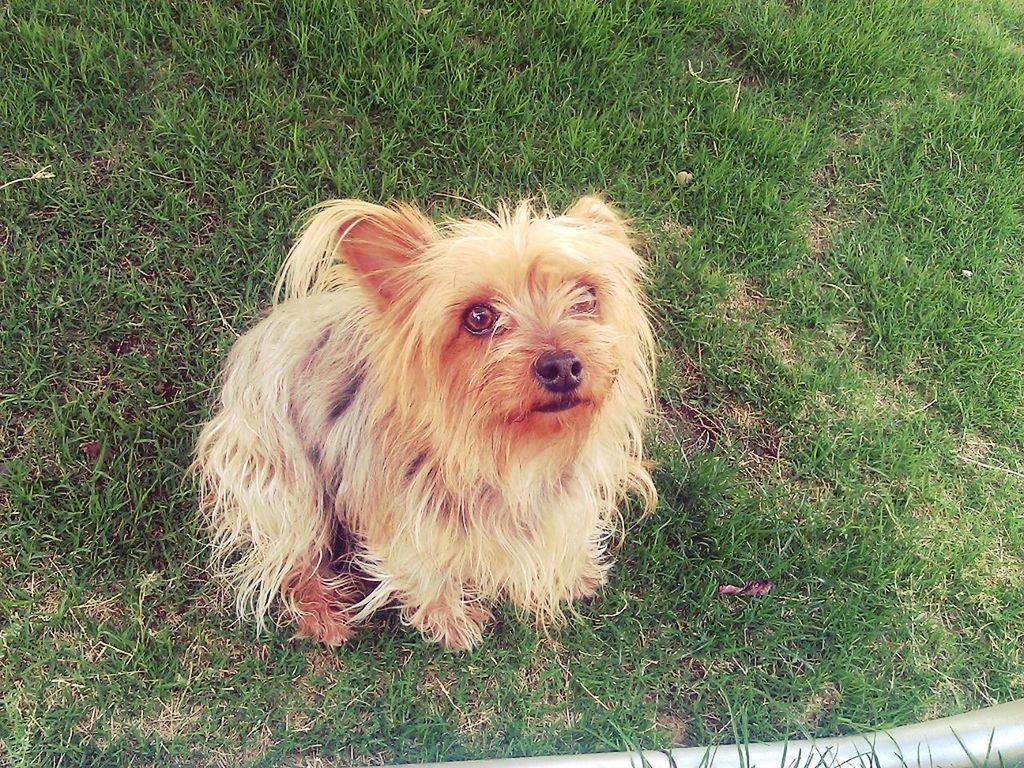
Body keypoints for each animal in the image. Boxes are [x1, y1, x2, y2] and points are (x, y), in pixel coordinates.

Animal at [192, 193, 655, 651]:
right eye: (479, 317)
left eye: (586, 298)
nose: (561, 366)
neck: (509, 452)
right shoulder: (400, 515)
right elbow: (424, 571)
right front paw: (450, 620)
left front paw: (578, 572)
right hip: (278, 479)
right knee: (290, 555)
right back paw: (321, 611)